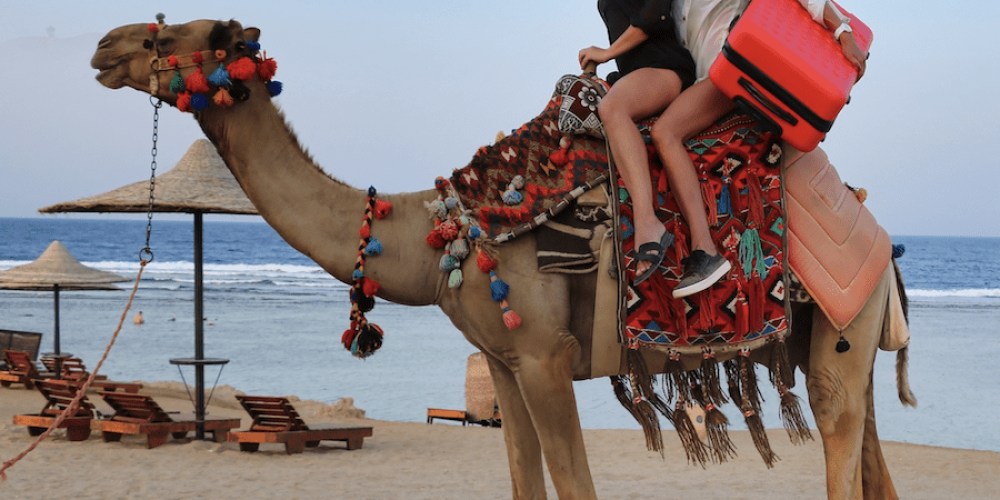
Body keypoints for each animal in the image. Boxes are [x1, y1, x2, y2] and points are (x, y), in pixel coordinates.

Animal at [92, 19, 914, 499]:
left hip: (841, 330)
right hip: (839, 345)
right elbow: (525, 478)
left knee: (842, 455)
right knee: (873, 458)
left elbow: (574, 484)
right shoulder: (505, 364)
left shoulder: (546, 357)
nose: (105, 45)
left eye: (183, 36)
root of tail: (878, 231)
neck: (440, 236)